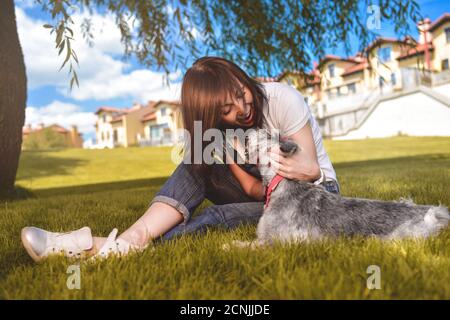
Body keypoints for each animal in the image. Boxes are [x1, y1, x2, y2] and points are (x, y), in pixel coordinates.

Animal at [225, 129, 450, 248]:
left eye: (264, 133)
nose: (246, 131)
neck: (280, 181)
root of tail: (435, 212)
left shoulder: (273, 241)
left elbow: (246, 246)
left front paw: (228, 246)